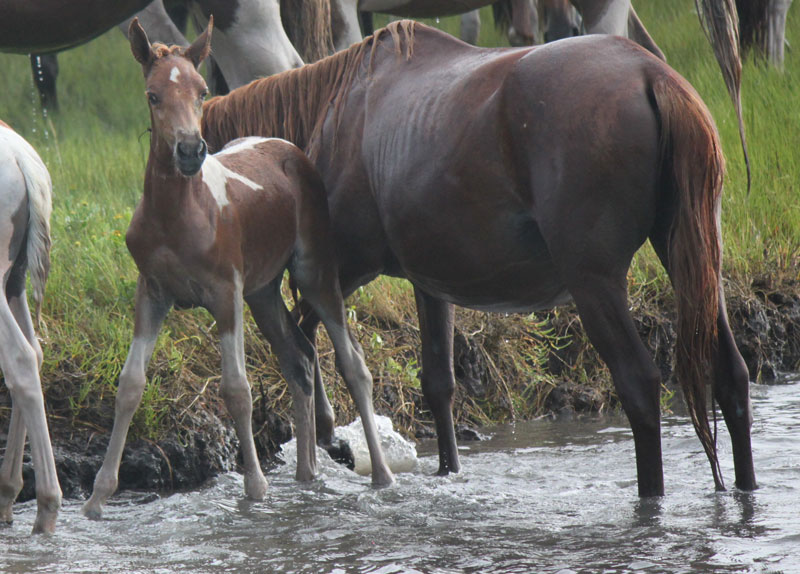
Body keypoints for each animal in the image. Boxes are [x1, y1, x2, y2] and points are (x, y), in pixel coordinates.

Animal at [83, 18, 392, 520]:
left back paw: (381, 475)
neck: (177, 215)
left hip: (314, 272)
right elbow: (129, 384)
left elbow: (236, 389)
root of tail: (291, 148)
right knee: (299, 357)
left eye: (202, 90)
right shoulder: (152, 292)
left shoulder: (225, 291)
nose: (190, 150)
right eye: (153, 95)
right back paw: (306, 475)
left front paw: (255, 488)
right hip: (263, 292)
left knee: (352, 362)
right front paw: (97, 497)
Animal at [202, 21, 756, 500]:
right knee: (730, 375)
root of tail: (651, 74)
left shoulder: (338, 268)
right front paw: (445, 470)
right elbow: (437, 382)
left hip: (595, 283)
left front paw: (330, 436)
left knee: (639, 384)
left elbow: (305, 337)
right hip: (694, 264)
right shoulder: (429, 281)